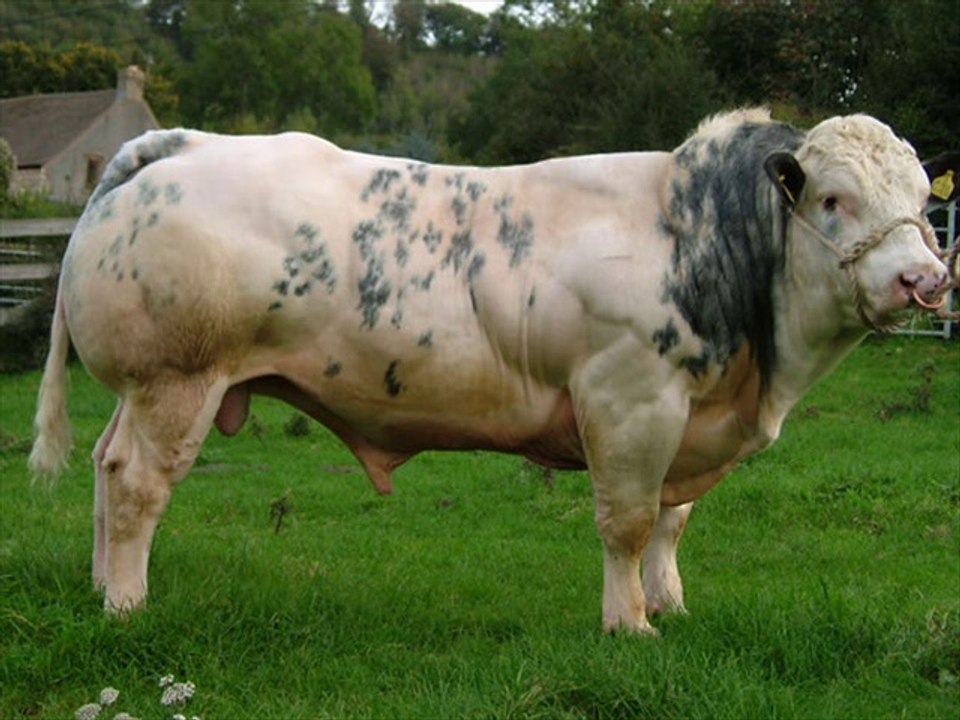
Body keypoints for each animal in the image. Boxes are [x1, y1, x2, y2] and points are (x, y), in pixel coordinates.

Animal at [29, 108, 956, 634]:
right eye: (833, 199)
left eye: (922, 197)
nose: (924, 280)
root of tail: (179, 148)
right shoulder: (630, 401)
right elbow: (628, 523)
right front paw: (631, 626)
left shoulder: (692, 418)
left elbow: (671, 522)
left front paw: (670, 604)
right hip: (176, 379)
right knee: (138, 482)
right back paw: (128, 605)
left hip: (147, 390)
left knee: (106, 470)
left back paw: (98, 582)